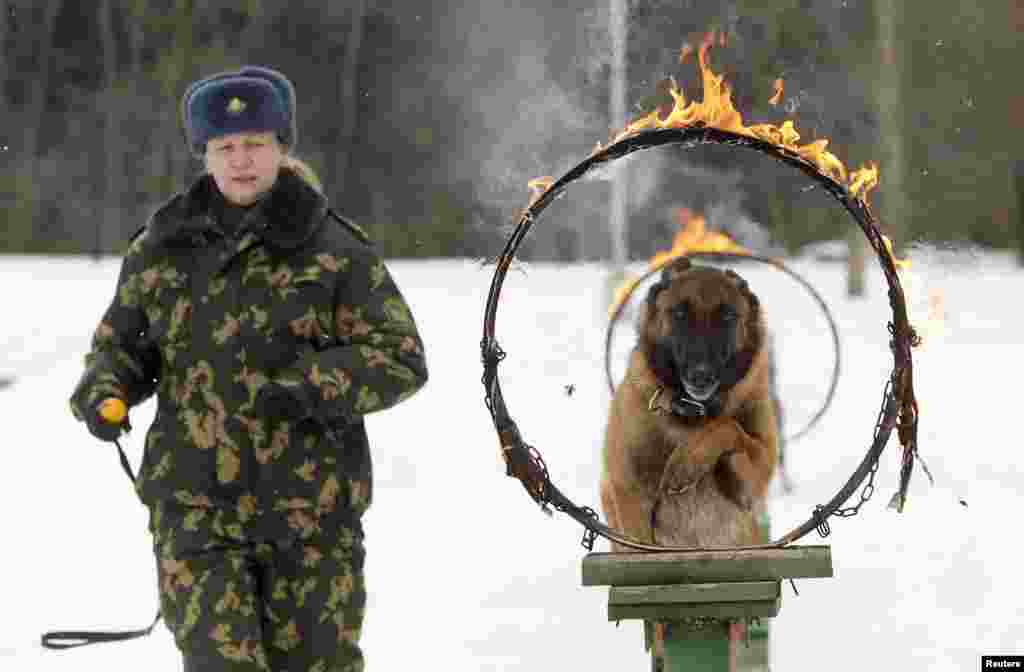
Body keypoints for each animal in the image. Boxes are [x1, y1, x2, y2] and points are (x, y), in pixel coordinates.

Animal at [598, 255, 778, 549]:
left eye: (727, 316)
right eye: (679, 314)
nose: (700, 374)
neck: (692, 414)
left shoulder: (753, 479)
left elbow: (727, 427)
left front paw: (687, 462)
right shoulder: (630, 494)